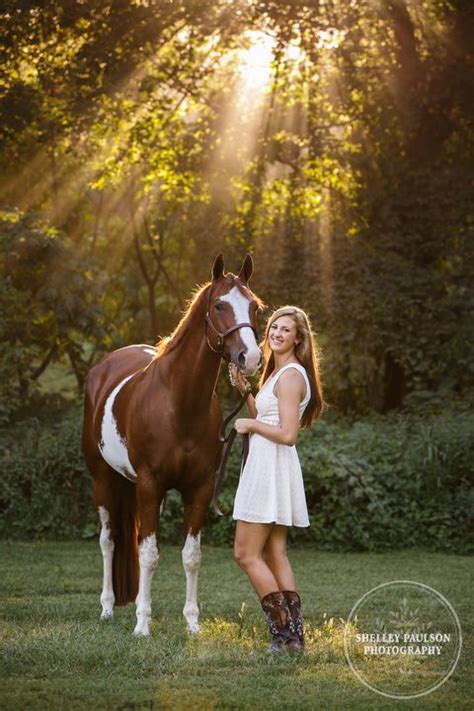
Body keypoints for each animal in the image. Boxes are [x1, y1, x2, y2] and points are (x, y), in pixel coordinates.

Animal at [81, 253, 262, 636]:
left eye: (255, 306)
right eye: (219, 305)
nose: (251, 358)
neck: (179, 404)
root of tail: (103, 368)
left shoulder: (198, 489)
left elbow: (190, 557)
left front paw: (192, 624)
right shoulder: (150, 484)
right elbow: (148, 555)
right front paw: (142, 627)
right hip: (103, 481)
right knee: (109, 541)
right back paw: (107, 608)